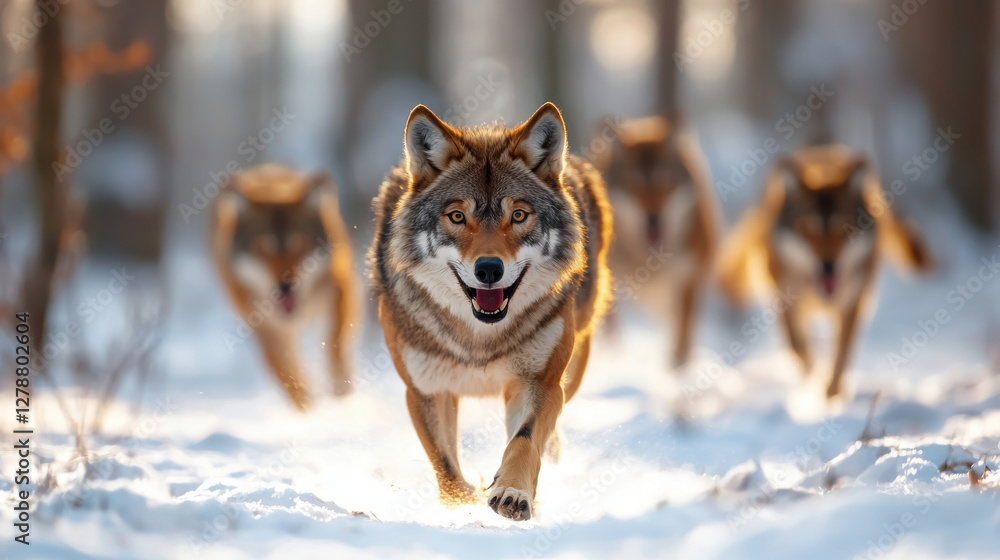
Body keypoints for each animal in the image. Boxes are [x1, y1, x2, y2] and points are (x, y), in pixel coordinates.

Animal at [213, 164, 359, 410]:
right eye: (263, 247)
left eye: (298, 244)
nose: (285, 286)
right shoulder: (266, 329)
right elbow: (287, 376)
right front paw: (308, 410)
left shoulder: (340, 292)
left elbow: (334, 347)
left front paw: (342, 394)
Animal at [369, 102, 612, 520]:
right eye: (457, 217)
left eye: (518, 216)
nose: (488, 270)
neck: (479, 339)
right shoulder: (426, 390)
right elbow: (445, 464)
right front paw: (461, 504)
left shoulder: (540, 382)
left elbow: (524, 440)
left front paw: (513, 492)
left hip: (574, 364)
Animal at [596, 116, 717, 366]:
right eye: (633, 185)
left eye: (666, 183)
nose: (653, 218)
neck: (650, 259)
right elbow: (609, 323)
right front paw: (613, 354)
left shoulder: (687, 280)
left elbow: (682, 333)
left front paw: (679, 367)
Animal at [718, 144, 932, 398]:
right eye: (808, 230)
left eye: (843, 229)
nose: (828, 265)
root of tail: (823, 151)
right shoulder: (784, 303)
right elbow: (799, 348)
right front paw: (814, 380)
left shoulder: (852, 305)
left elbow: (842, 353)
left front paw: (832, 394)